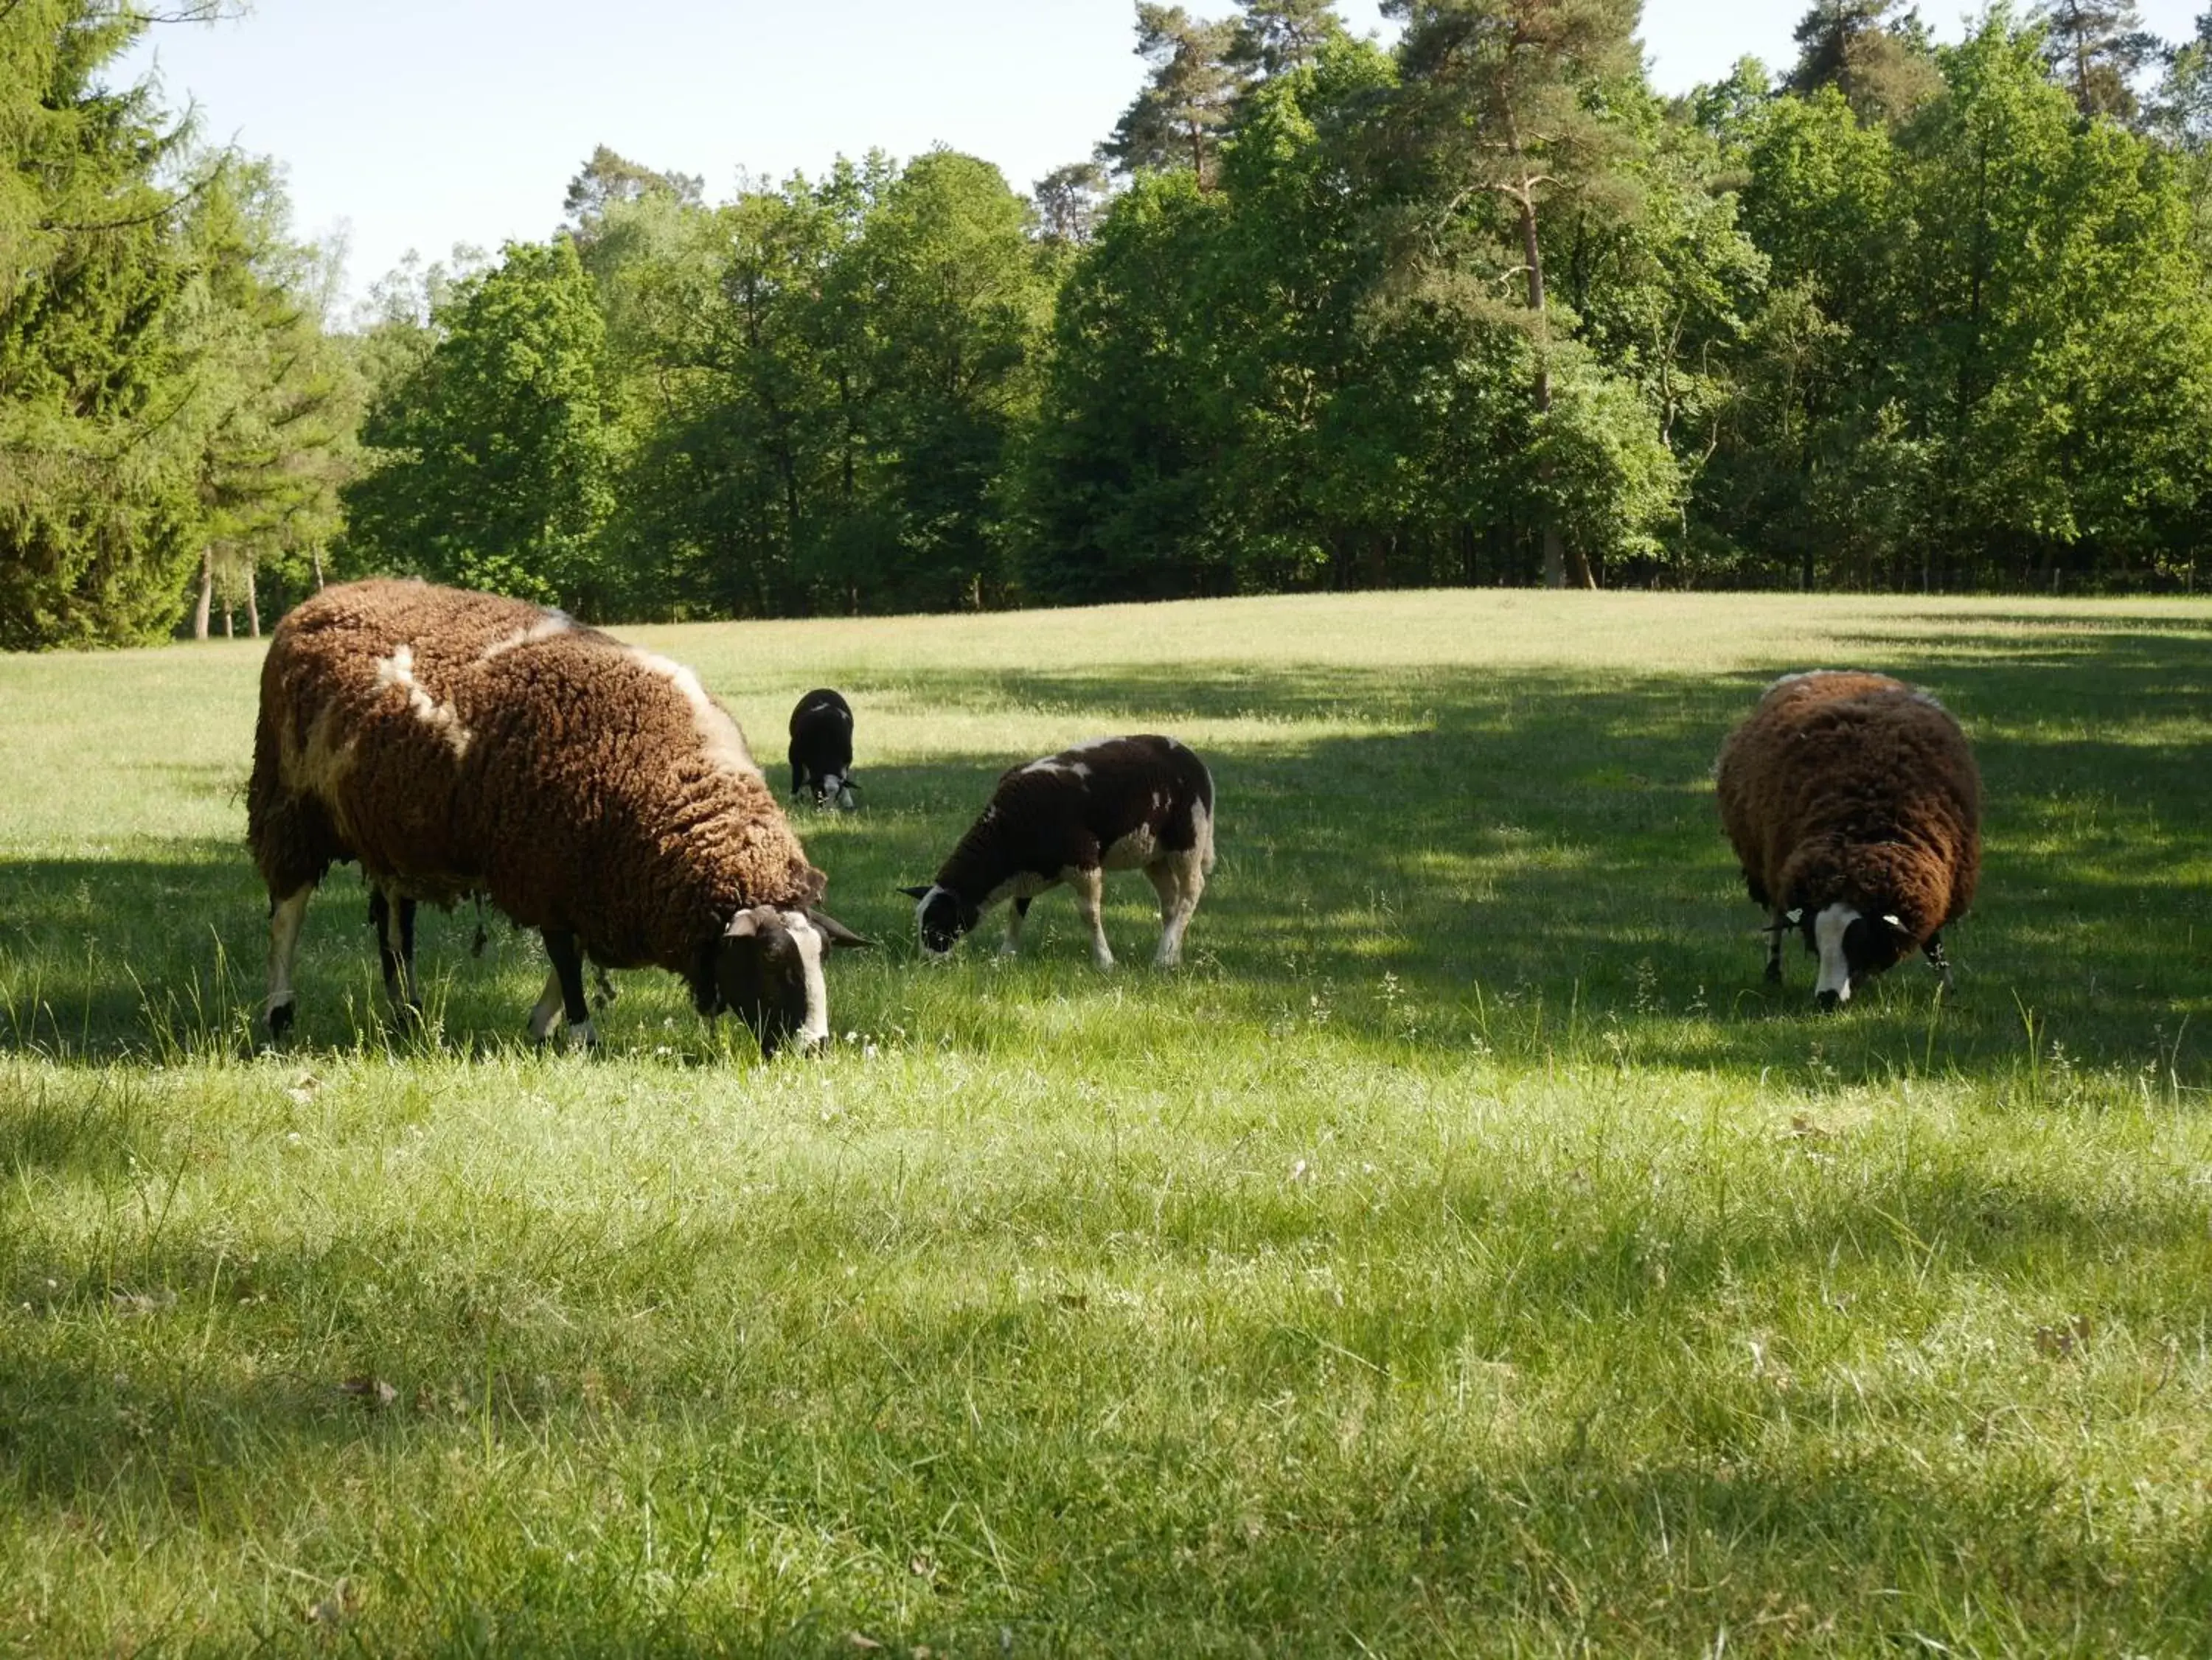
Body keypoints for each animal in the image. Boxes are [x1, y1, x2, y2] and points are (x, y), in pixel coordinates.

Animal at [242, 579, 863, 1056]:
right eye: (774, 963)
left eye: (823, 959)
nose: (815, 1048)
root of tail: (321, 601)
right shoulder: (545, 867)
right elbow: (566, 959)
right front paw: (581, 1035)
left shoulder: (586, 877)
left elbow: (569, 958)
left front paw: (542, 1027)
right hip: (289, 805)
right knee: (286, 916)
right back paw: (279, 1013)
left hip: (390, 833)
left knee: (396, 930)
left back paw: (408, 1014)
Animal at [898, 733, 1221, 968]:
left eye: (936, 925)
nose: (926, 963)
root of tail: (1194, 758)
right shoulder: (1028, 873)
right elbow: (1016, 912)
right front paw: (1005, 956)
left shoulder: (1083, 862)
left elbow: (1089, 914)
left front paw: (1105, 962)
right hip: (1154, 853)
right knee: (1170, 900)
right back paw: (1173, 956)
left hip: (1188, 840)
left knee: (1191, 892)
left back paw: (1163, 958)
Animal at [1717, 672, 1982, 1012]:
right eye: (1815, 942)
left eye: (1859, 940)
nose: (1826, 999)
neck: (1862, 836)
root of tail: (1836, 672)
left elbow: (1935, 947)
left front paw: (1949, 992)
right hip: (1766, 865)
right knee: (1776, 915)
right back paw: (1773, 972)